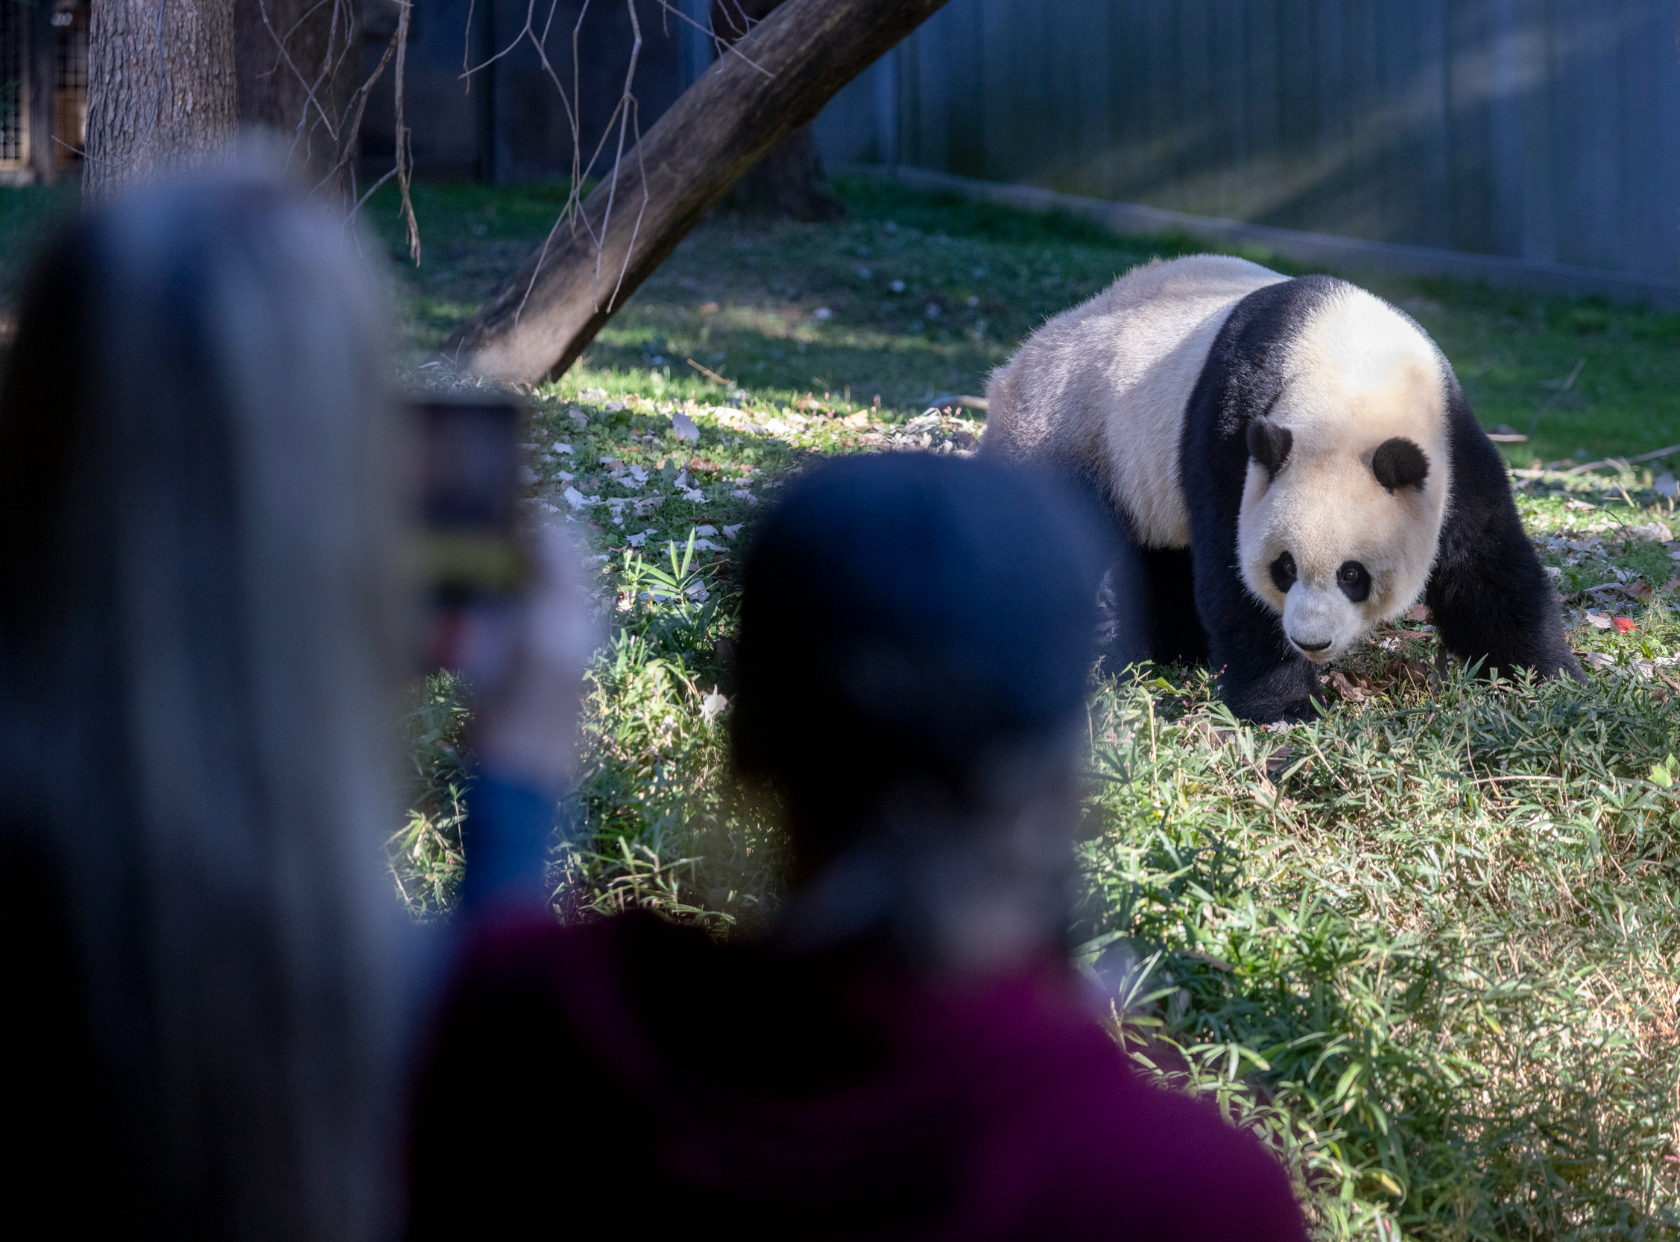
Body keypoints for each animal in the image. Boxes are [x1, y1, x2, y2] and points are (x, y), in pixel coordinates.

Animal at [981, 252, 1579, 722]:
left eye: (1352, 575)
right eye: (1284, 568)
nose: (1312, 642)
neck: (1349, 377)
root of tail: (1017, 363)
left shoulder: (1450, 439)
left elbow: (1484, 566)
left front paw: (1548, 680)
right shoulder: (1231, 428)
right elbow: (1232, 573)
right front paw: (1287, 708)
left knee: (1165, 555)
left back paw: (1173, 651)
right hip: (1073, 430)